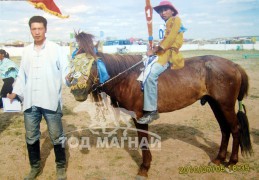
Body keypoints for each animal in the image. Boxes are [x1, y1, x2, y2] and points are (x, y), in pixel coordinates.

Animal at [69, 32, 254, 177]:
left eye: (91, 62)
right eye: (72, 62)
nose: (77, 90)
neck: (127, 78)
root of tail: (235, 65)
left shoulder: (140, 116)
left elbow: (143, 140)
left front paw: (144, 168)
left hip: (225, 105)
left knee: (235, 129)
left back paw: (232, 161)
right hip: (215, 104)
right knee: (225, 129)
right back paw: (218, 159)